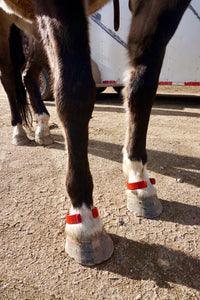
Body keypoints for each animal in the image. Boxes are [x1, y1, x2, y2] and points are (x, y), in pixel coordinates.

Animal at [0, 0, 191, 266]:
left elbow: (142, 87)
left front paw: (139, 179)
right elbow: (74, 91)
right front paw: (84, 218)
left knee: (28, 75)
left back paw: (42, 126)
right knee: (8, 75)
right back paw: (18, 130)